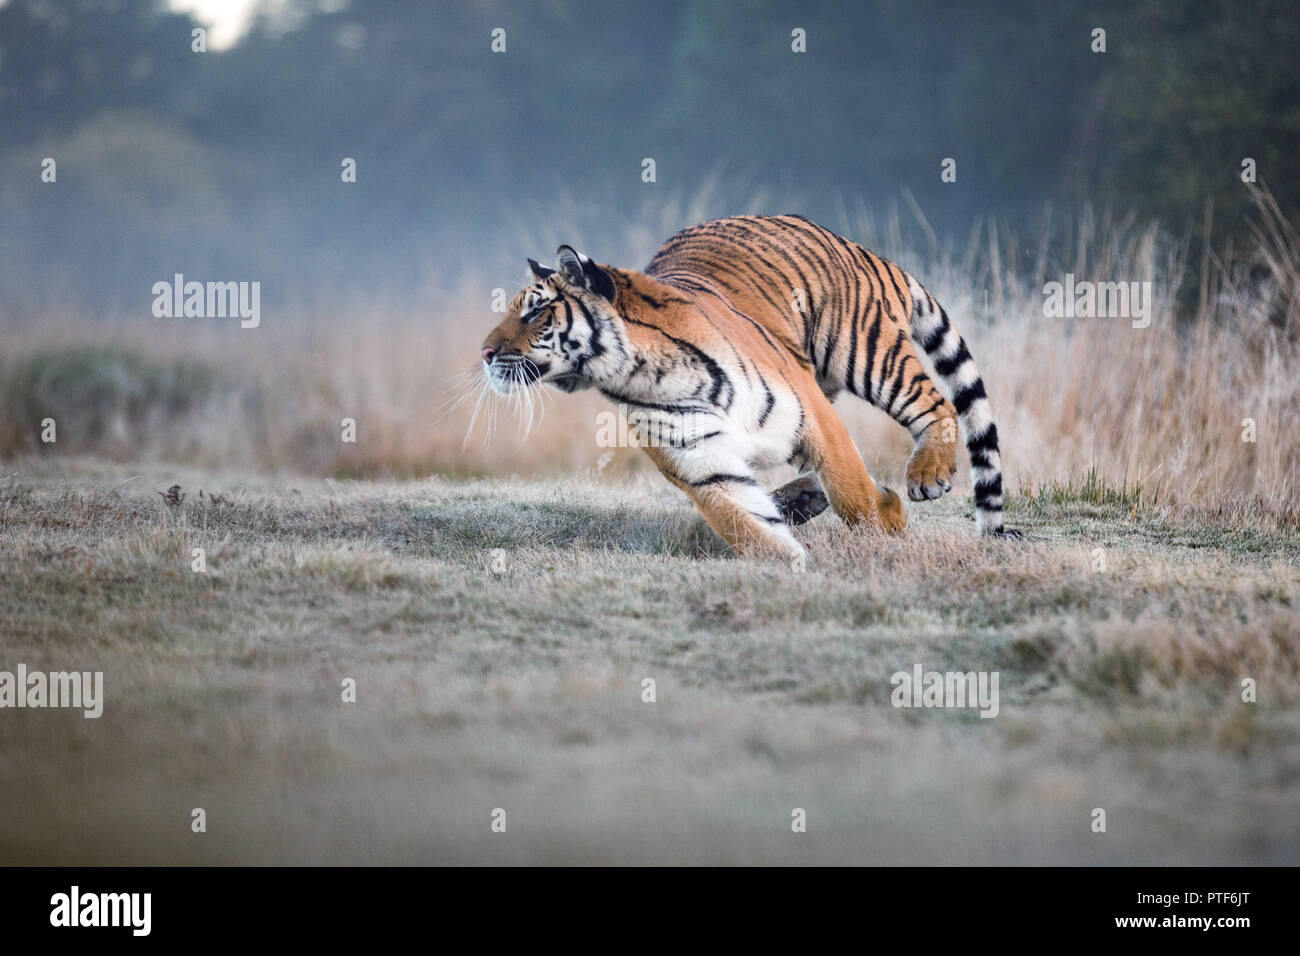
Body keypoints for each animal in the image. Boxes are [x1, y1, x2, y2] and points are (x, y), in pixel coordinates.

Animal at [483, 214, 1019, 561]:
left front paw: (887, 523)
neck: (641, 374)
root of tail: (864, 250)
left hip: (863, 352)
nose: (485, 353)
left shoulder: (810, 413)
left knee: (935, 402)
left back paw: (927, 474)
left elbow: (852, 490)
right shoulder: (700, 461)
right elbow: (743, 521)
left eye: (535, 311)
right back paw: (803, 498)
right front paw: (791, 566)